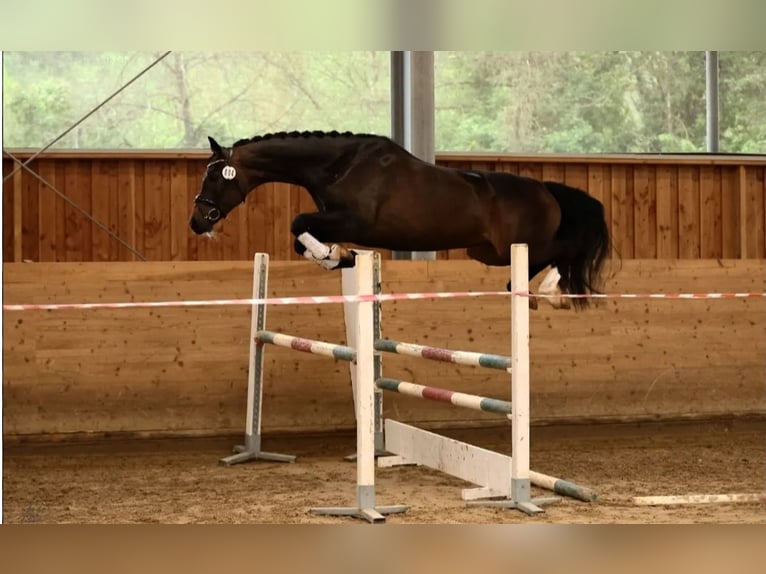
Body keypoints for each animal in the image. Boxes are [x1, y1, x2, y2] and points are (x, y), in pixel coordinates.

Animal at [189, 130, 610, 309]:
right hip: (487, 251)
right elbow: (300, 236)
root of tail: (547, 190)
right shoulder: (334, 220)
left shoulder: (354, 222)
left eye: (215, 176)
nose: (197, 221)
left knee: (562, 252)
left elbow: (297, 224)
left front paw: (334, 255)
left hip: (514, 248)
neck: (340, 165)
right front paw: (337, 256)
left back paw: (552, 292)